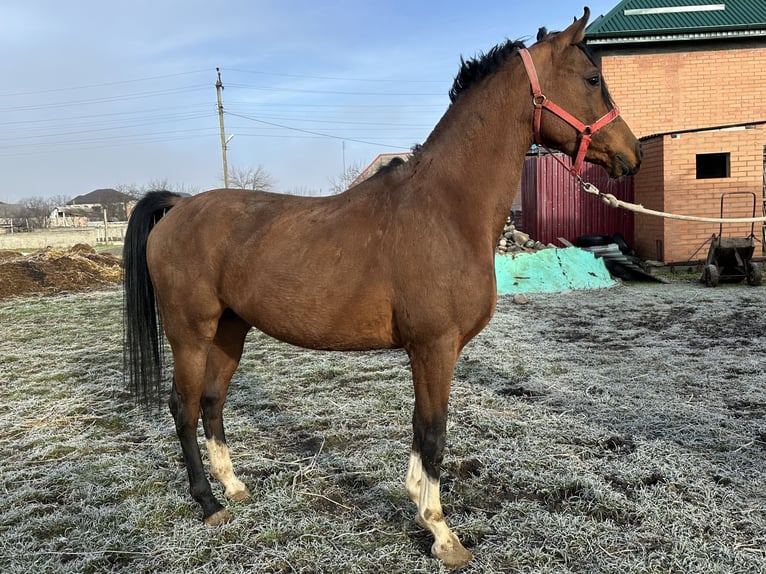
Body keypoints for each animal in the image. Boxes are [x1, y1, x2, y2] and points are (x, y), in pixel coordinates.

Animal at [123, 8, 641, 569]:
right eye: (592, 80)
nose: (632, 153)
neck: (446, 207)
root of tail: (178, 205)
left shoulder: (428, 351)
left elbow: (420, 430)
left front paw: (419, 506)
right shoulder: (434, 347)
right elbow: (433, 432)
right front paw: (442, 534)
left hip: (229, 331)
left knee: (212, 402)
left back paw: (234, 488)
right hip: (190, 333)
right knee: (183, 407)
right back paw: (208, 503)